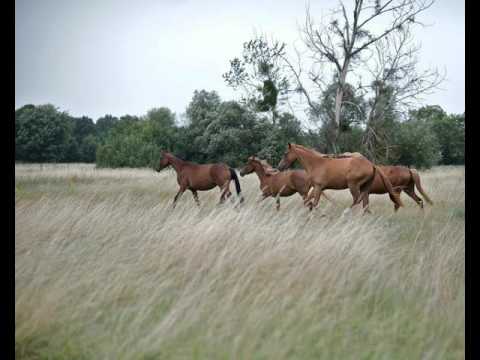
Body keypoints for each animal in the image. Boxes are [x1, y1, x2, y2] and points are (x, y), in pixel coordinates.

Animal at [276, 143, 404, 212]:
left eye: (285, 154)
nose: (279, 167)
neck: (316, 163)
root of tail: (371, 164)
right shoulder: (318, 188)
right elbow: (308, 201)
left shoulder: (318, 187)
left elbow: (314, 203)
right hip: (365, 187)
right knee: (365, 203)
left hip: (353, 185)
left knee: (357, 200)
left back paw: (346, 212)